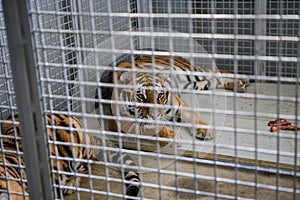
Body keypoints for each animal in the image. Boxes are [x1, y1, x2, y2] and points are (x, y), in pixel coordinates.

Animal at [95, 55, 250, 146]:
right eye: (140, 96)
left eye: (160, 95)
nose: (155, 114)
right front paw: (172, 136)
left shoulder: (178, 103)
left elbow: (193, 116)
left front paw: (204, 130)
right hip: (200, 83)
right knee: (217, 79)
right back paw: (239, 85)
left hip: (194, 73)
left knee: (218, 72)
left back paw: (243, 78)